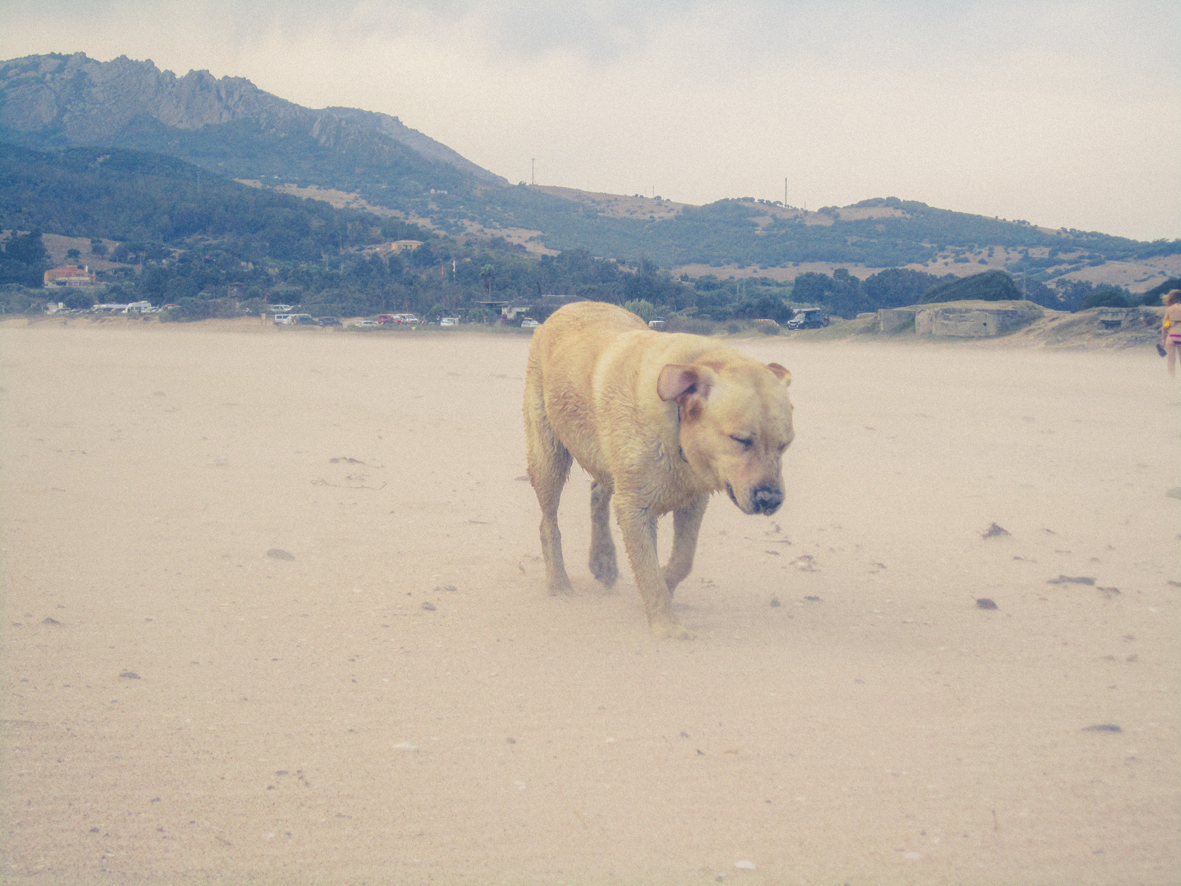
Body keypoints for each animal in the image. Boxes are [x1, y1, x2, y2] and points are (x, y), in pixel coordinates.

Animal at [523, 301, 794, 638]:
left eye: (785, 444)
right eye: (740, 439)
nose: (770, 499)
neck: (677, 428)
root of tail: (565, 307)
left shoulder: (694, 500)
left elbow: (683, 560)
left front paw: (665, 583)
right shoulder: (635, 506)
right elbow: (649, 570)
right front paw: (667, 626)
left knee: (598, 491)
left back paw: (603, 561)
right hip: (549, 453)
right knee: (548, 521)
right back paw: (559, 583)